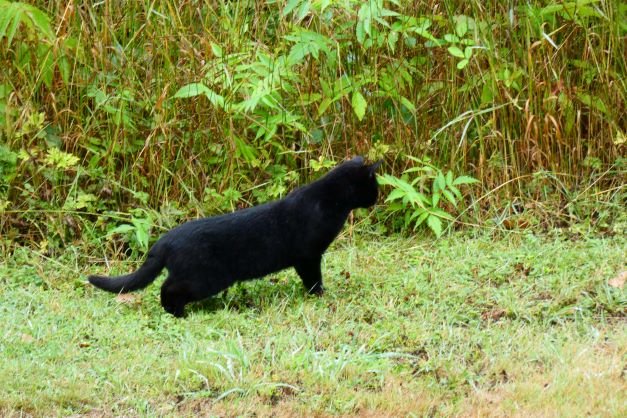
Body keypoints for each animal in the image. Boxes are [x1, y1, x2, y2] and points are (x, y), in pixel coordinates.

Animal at [88, 157, 382, 316]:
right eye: (375, 187)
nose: (377, 199)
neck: (331, 201)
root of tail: (164, 240)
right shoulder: (308, 256)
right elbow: (314, 279)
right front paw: (320, 295)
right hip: (204, 278)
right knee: (167, 288)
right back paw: (177, 314)